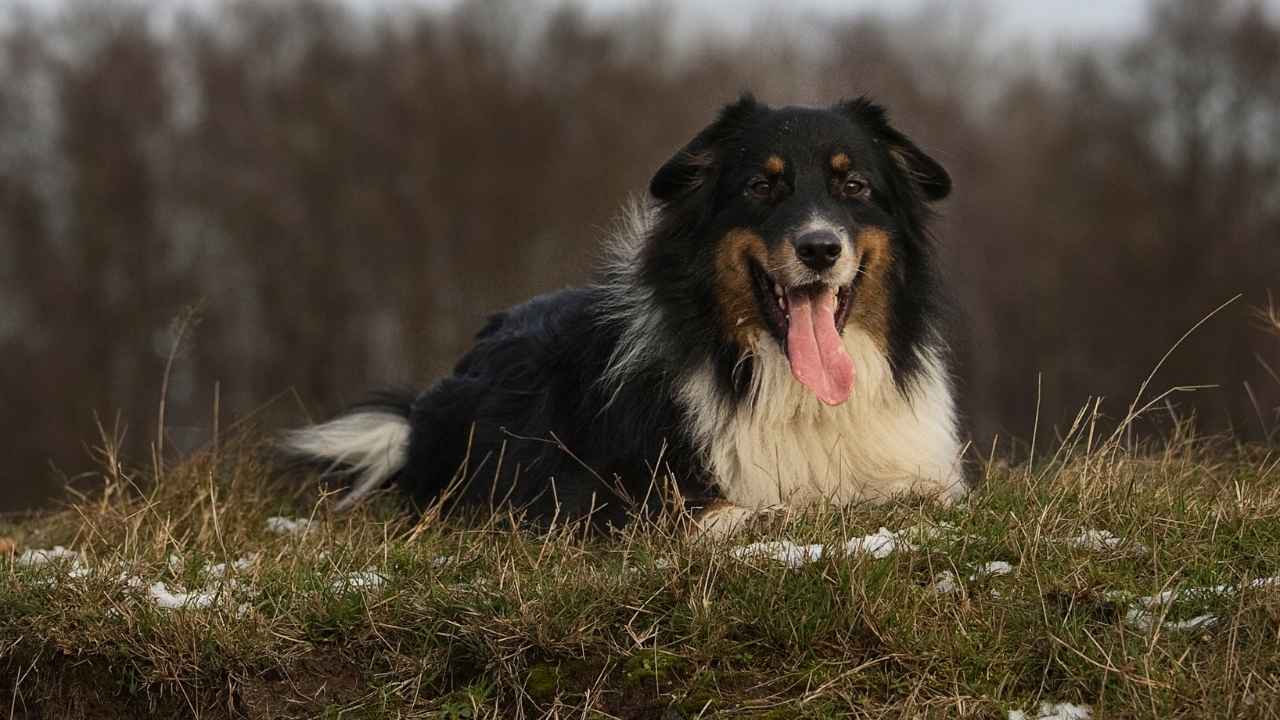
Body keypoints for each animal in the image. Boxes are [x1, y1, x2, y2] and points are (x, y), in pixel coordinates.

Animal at [285, 95, 967, 530]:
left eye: (854, 186)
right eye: (761, 186)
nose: (820, 248)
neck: (794, 392)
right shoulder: (602, 498)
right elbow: (740, 511)